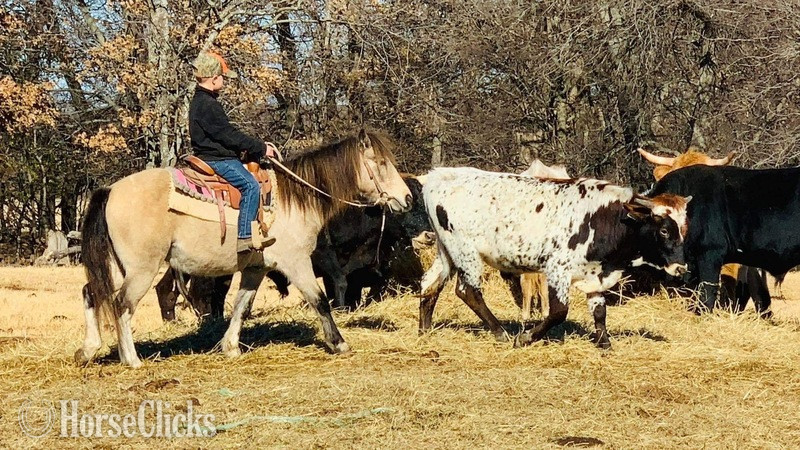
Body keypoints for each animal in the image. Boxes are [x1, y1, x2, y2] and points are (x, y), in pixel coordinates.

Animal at [77, 129, 412, 368]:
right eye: (382, 164)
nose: (407, 198)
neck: (294, 199)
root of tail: (110, 190)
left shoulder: (255, 268)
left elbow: (241, 305)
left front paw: (230, 347)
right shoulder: (296, 262)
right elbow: (319, 300)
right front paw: (339, 343)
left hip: (119, 266)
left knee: (91, 293)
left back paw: (89, 350)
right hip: (142, 269)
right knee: (122, 304)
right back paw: (131, 359)